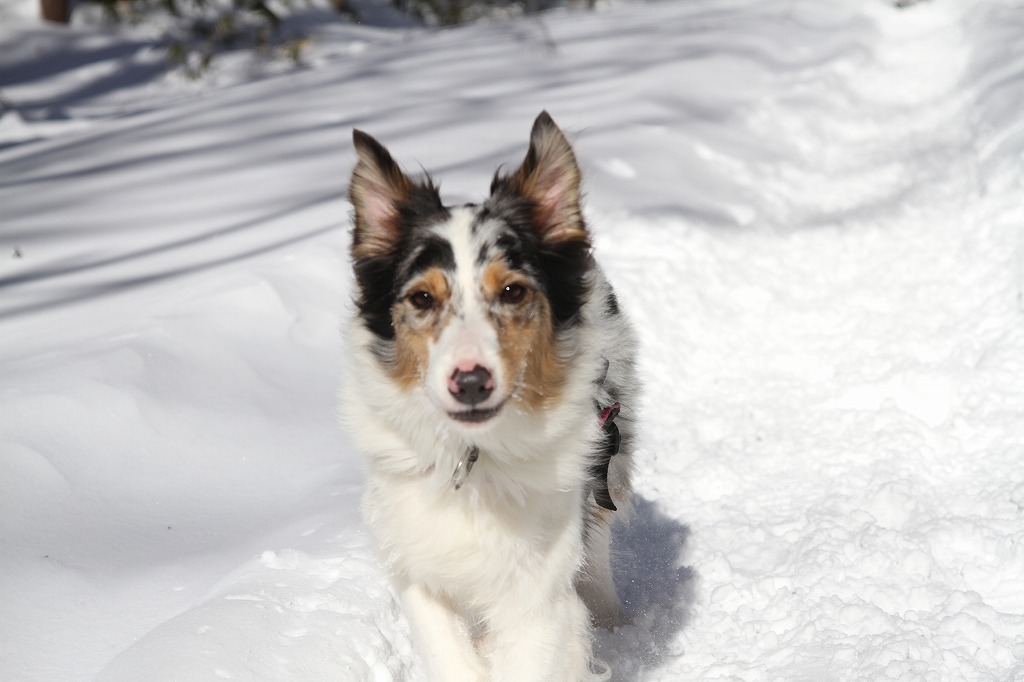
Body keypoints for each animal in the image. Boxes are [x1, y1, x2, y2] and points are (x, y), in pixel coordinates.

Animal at [344, 111, 638, 679]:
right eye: (422, 298)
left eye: (512, 291)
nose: (471, 381)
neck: (473, 459)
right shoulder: (418, 560)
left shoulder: (538, 587)